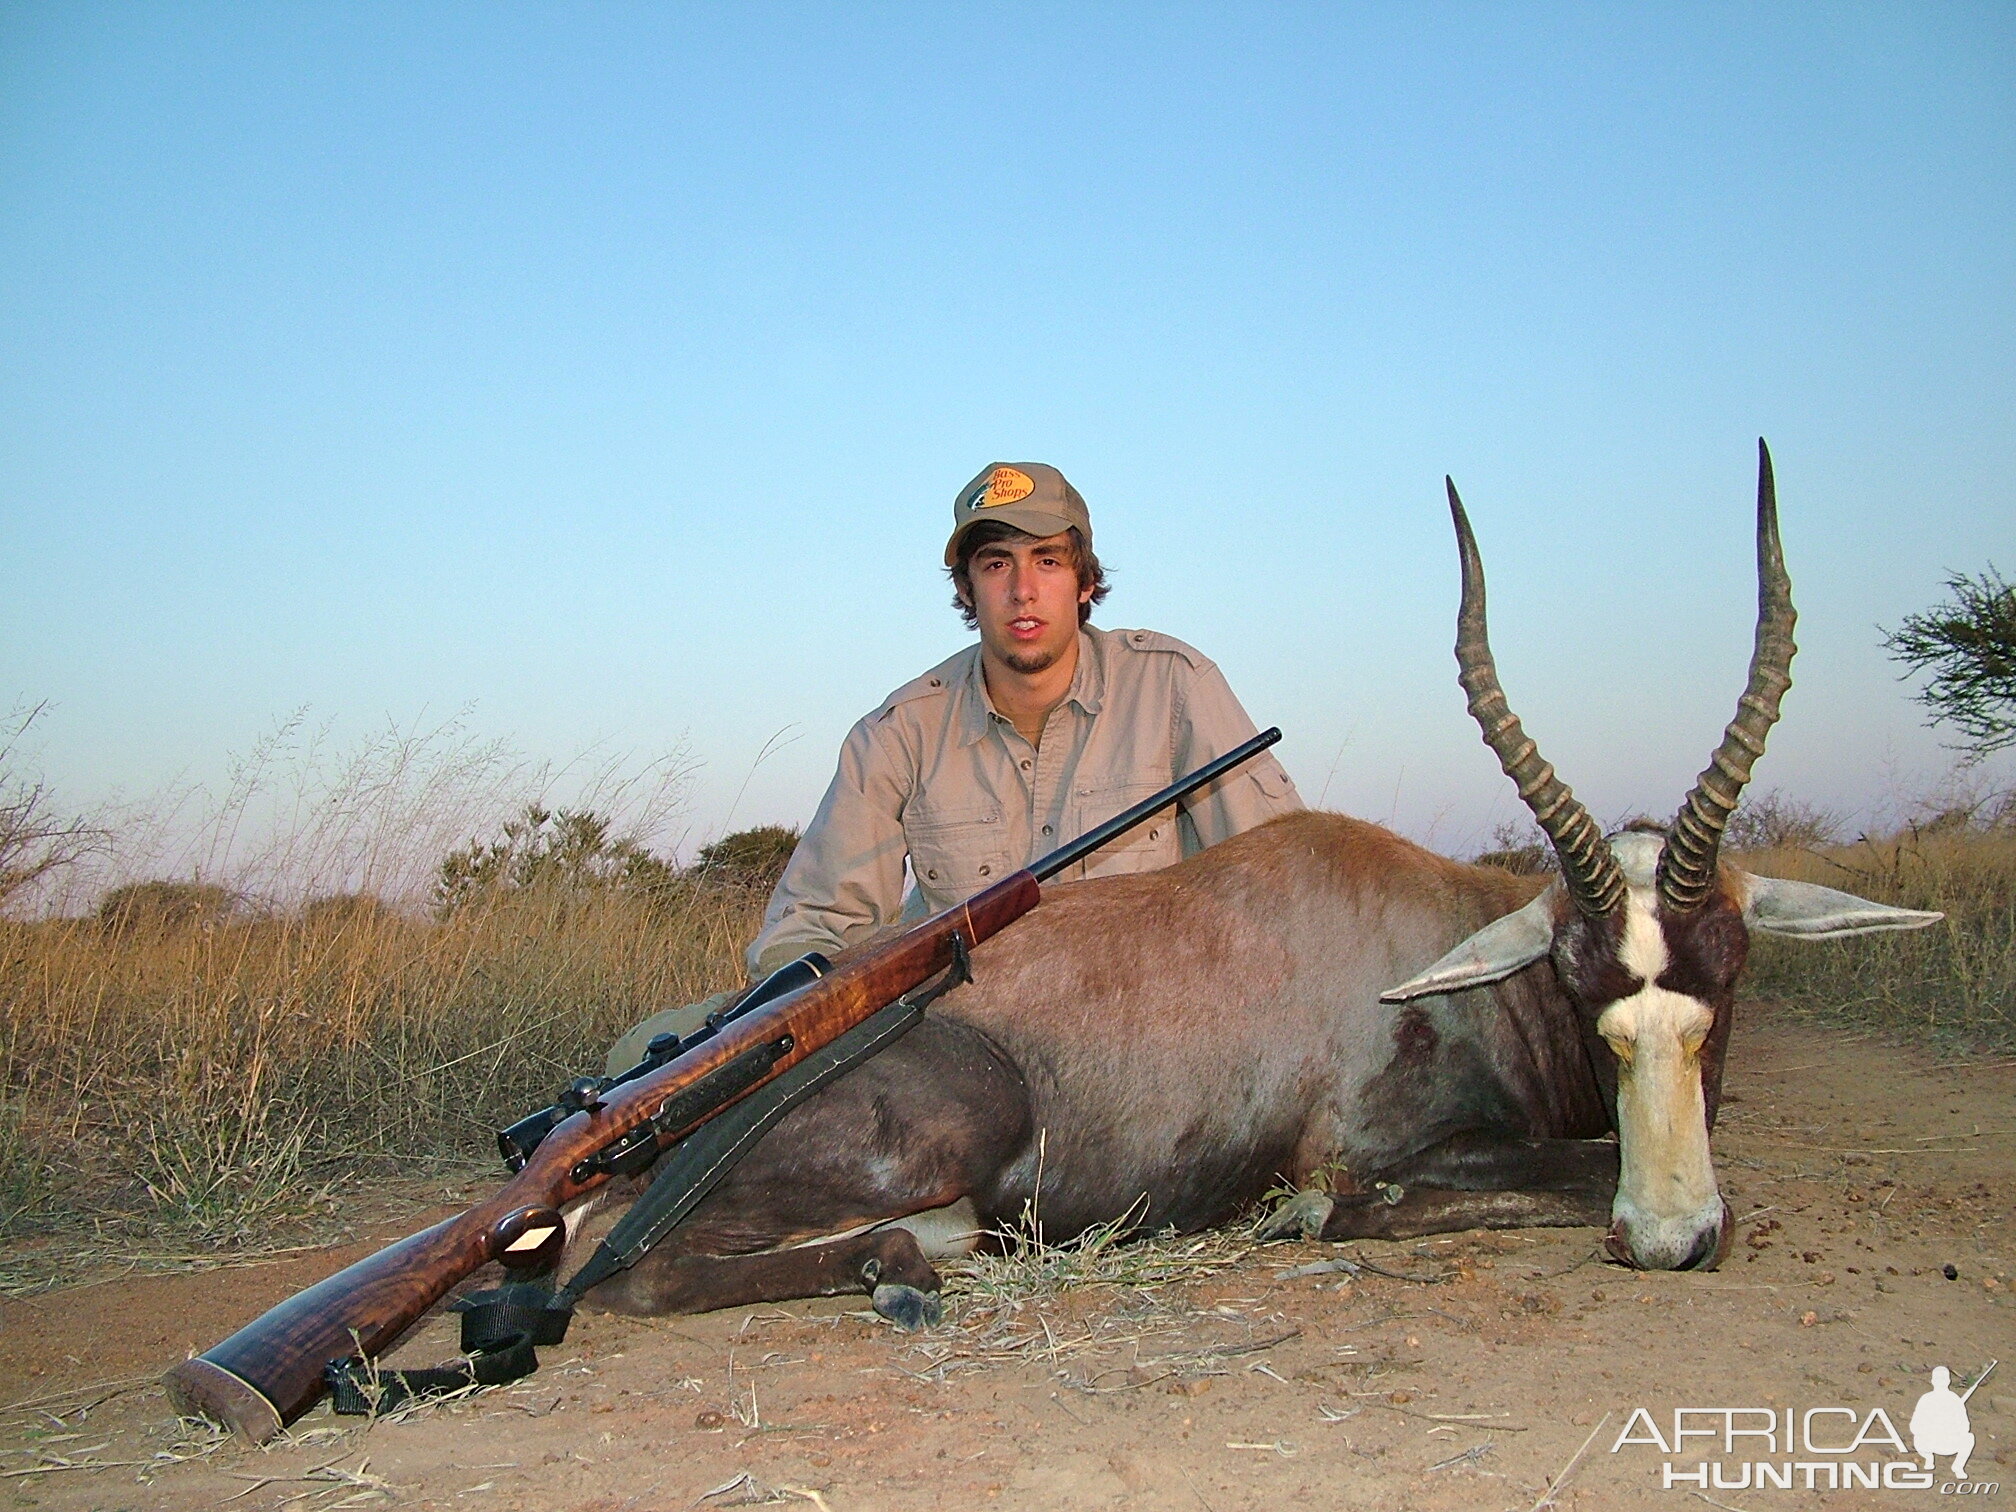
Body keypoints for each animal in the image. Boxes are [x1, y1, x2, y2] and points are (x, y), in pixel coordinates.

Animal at [568, 443, 1935, 1330]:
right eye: (1581, 978)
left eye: (1730, 972)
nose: (1669, 1240)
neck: (1434, 957)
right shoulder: (1374, 1157)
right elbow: (1469, 1184)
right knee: (635, 1268)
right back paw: (908, 1268)